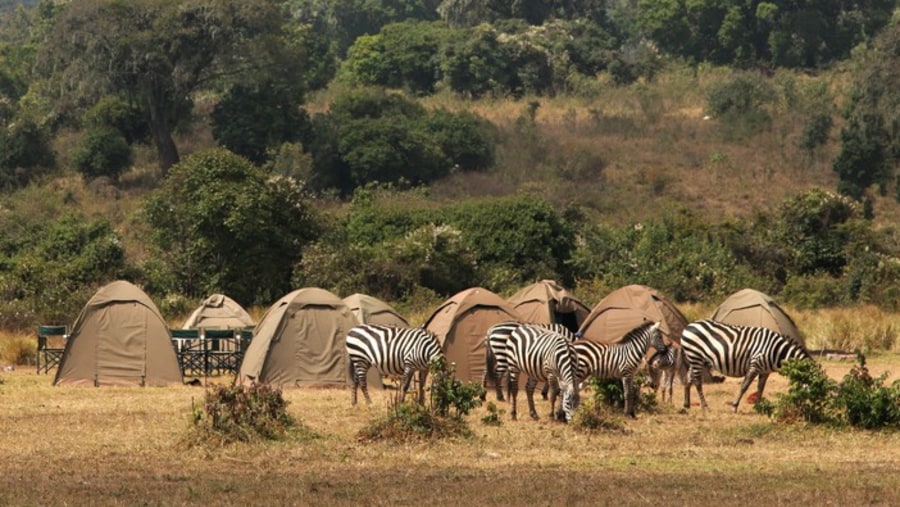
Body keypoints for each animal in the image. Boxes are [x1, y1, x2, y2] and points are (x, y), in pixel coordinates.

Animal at [680, 322, 812, 412]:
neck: (777, 351)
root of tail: (688, 326)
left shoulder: (765, 371)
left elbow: (760, 388)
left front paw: (759, 406)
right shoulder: (754, 365)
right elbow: (744, 386)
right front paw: (734, 406)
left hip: (695, 360)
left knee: (688, 379)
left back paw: (686, 404)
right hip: (696, 357)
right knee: (697, 382)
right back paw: (705, 407)